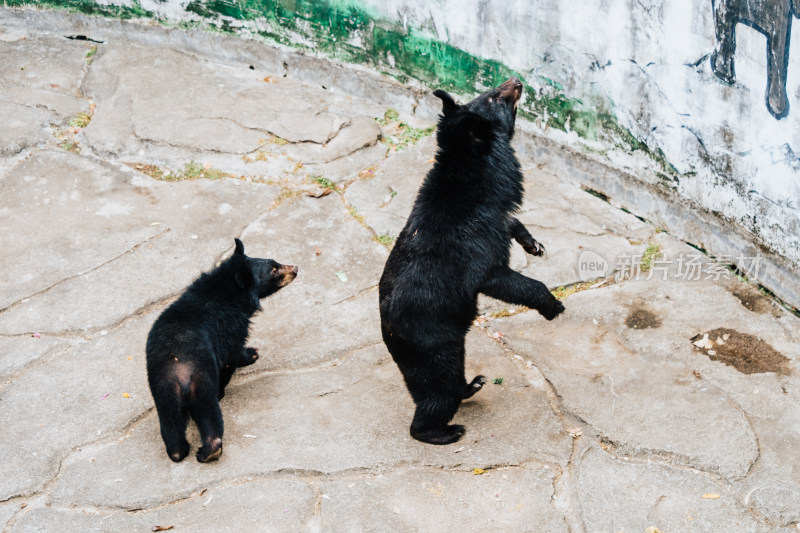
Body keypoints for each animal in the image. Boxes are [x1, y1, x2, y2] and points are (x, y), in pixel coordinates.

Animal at [146, 238, 296, 462]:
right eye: (274, 270)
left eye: (274, 262)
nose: (295, 268)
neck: (227, 288)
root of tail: (178, 370)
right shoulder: (229, 328)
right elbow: (231, 356)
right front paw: (251, 354)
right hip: (202, 380)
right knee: (209, 412)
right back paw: (209, 451)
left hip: (162, 390)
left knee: (170, 422)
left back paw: (178, 452)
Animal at [380, 78, 564, 444]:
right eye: (494, 97)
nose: (517, 80)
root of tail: (388, 332)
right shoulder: (475, 245)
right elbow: (500, 277)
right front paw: (554, 305)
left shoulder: (493, 214)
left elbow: (511, 222)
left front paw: (534, 245)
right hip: (433, 343)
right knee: (438, 390)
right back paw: (445, 430)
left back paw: (473, 385)